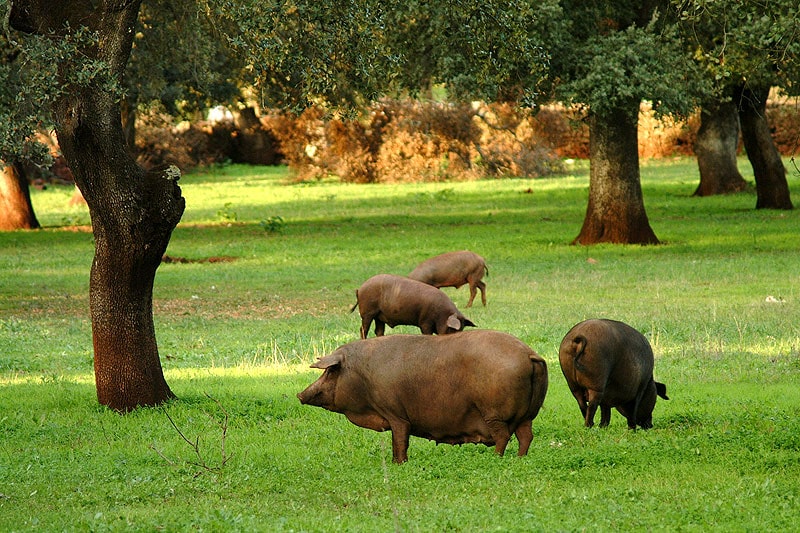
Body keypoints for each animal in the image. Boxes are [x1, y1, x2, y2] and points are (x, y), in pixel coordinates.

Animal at [297, 331, 548, 463]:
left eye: (331, 370)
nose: (300, 394)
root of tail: (530, 354)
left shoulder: (395, 413)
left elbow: (400, 439)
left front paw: (398, 463)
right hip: (528, 415)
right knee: (526, 436)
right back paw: (520, 459)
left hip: (494, 414)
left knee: (503, 436)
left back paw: (497, 459)